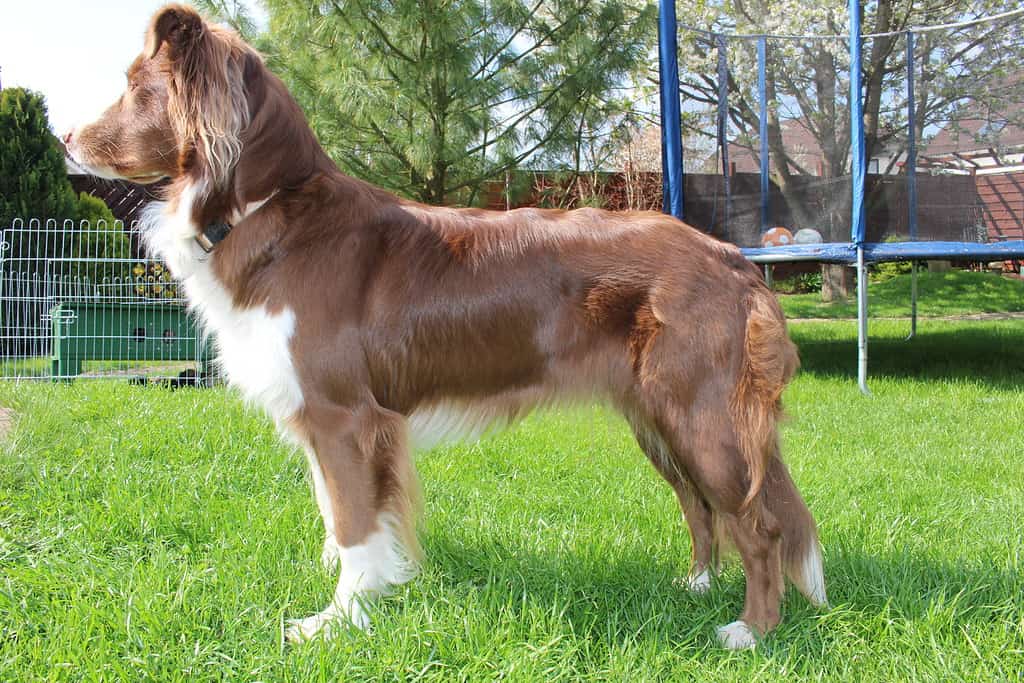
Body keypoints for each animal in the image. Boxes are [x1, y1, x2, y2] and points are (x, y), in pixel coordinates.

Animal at [66, 5, 823, 651]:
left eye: (135, 88)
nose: (67, 137)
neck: (269, 207)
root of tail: (733, 259)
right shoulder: (323, 418)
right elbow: (338, 516)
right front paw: (364, 590)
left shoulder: (344, 416)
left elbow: (352, 519)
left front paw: (338, 620)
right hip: (658, 418)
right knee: (701, 506)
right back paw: (694, 586)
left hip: (701, 415)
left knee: (760, 524)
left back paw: (749, 630)